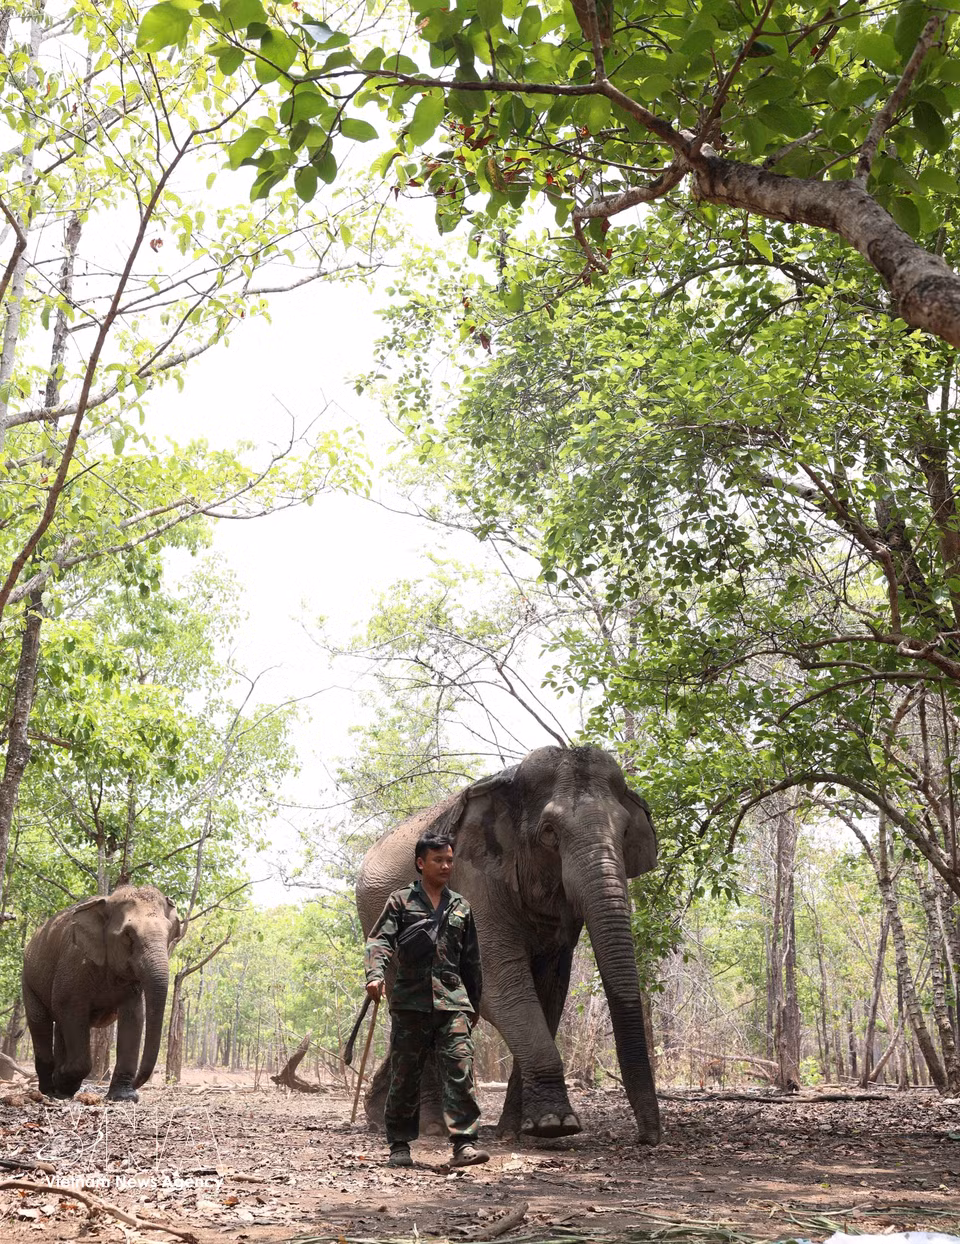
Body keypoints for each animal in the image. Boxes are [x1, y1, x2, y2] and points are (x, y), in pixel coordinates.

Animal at [22, 884, 181, 1102]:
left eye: (169, 933)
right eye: (128, 935)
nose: (137, 1083)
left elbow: (133, 1017)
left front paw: (123, 1097)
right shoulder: (73, 963)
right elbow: (70, 1008)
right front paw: (63, 1083)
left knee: (61, 1028)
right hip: (28, 981)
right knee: (41, 1023)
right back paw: (49, 1089)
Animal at [356, 744, 661, 1146]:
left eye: (625, 831)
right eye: (549, 832)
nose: (649, 1138)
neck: (512, 783)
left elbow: (550, 990)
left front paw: (521, 1130)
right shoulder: (474, 878)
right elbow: (501, 985)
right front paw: (555, 1125)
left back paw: (384, 1119)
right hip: (374, 919)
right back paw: (430, 1128)